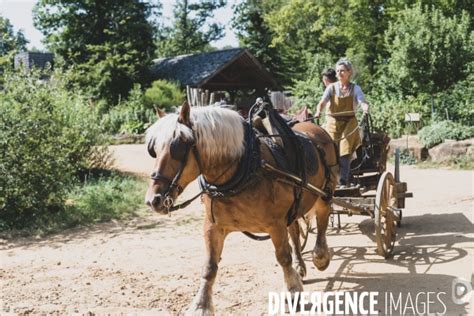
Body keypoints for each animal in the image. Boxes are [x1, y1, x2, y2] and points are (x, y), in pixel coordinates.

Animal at [143, 101, 336, 314]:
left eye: (177, 146)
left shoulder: (275, 225)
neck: (246, 167)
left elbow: (283, 257)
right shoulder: (213, 226)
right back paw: (300, 265)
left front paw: (292, 292)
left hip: (324, 193)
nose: (153, 200)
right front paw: (201, 305)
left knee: (322, 220)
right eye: (153, 149)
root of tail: (316, 128)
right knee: (295, 230)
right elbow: (209, 266)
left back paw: (320, 256)